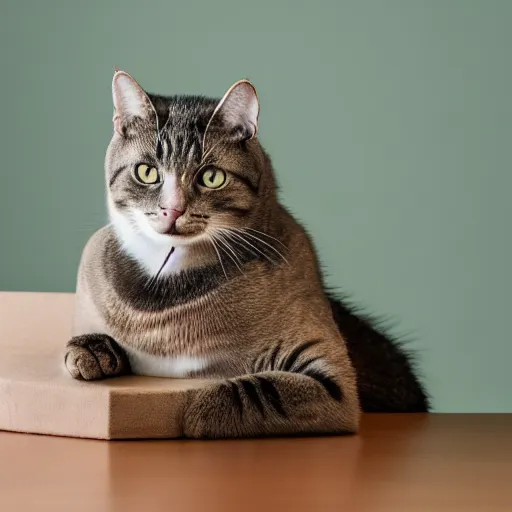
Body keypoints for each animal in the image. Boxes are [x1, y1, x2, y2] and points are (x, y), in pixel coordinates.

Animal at [65, 71, 428, 440]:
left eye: (211, 177)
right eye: (147, 172)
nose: (172, 210)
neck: (164, 281)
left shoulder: (331, 374)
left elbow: (257, 389)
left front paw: (196, 410)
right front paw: (91, 351)